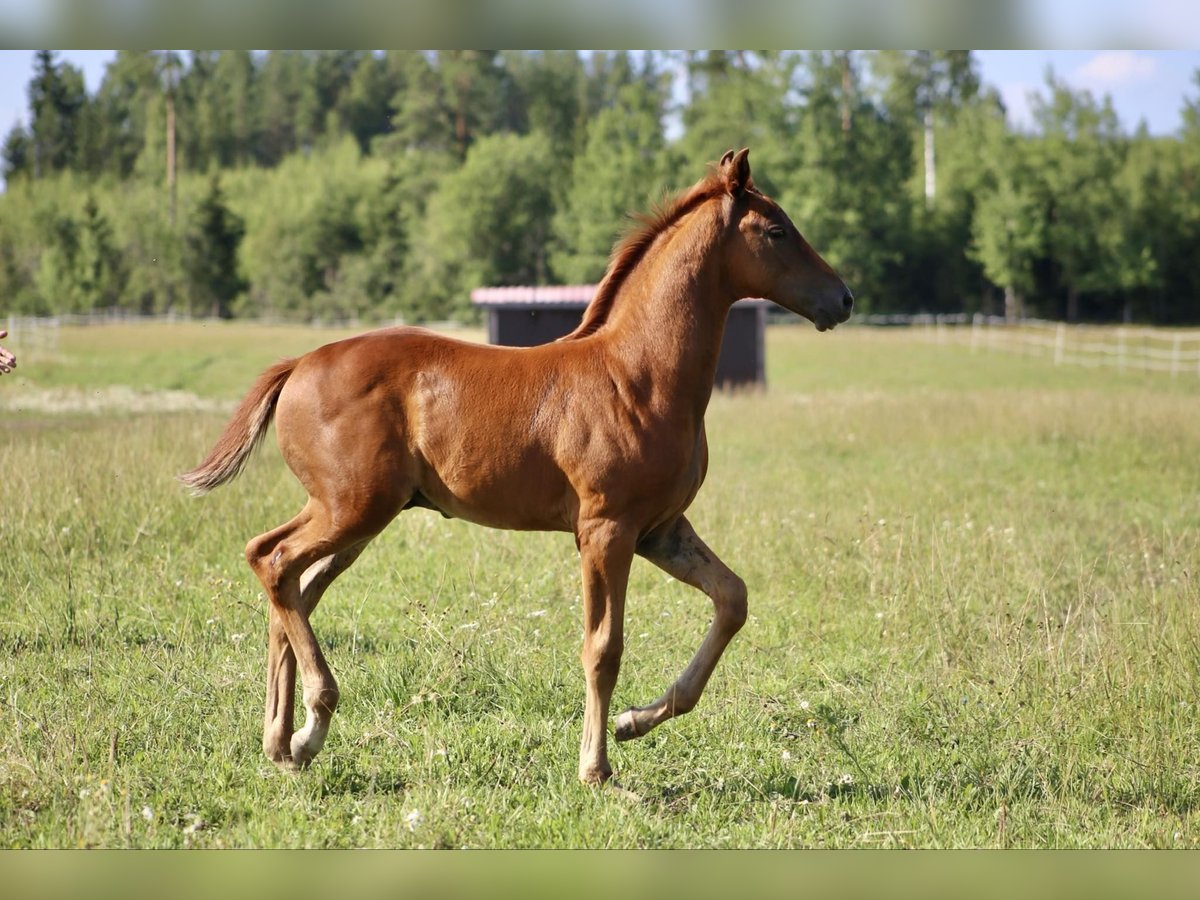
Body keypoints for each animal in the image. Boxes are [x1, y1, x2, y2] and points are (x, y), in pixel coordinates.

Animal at [180, 151, 854, 787]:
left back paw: (286, 742)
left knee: (291, 583)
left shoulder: (661, 529)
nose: (843, 298)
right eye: (776, 230)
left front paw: (635, 722)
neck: (638, 375)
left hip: (353, 516)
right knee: (273, 560)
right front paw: (596, 768)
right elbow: (603, 647)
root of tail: (297, 364)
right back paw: (312, 719)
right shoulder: (605, 530)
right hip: (352, 508)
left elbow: (732, 598)